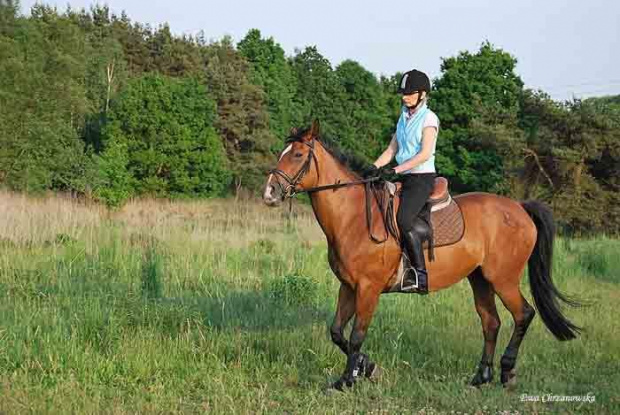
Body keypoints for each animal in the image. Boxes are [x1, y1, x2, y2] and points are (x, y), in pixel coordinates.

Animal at [260, 119, 576, 390]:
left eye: (298, 154)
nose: (269, 194)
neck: (353, 218)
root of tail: (520, 208)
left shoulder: (368, 289)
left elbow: (357, 335)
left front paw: (348, 379)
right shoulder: (348, 286)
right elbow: (338, 333)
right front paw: (366, 367)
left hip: (503, 278)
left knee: (523, 314)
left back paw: (507, 371)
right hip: (480, 278)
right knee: (491, 322)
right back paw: (480, 377)